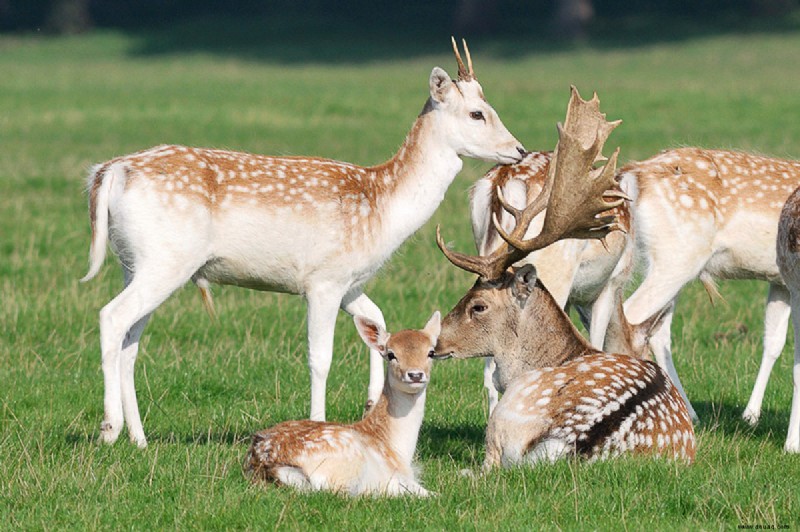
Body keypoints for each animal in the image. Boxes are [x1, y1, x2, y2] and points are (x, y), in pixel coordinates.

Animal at [81, 37, 528, 446]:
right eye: (476, 113)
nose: (519, 149)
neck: (382, 207)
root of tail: (109, 172)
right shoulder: (323, 280)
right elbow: (320, 358)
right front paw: (316, 424)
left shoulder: (350, 282)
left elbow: (378, 320)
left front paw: (371, 400)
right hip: (166, 260)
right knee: (111, 317)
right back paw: (109, 428)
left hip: (134, 262)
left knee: (130, 341)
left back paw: (139, 438)